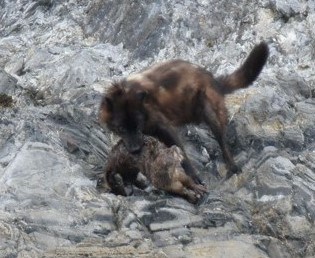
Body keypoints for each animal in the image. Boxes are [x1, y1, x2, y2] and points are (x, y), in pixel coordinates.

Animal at [100, 42, 270, 180]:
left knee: (223, 142)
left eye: (137, 125)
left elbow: (183, 157)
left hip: (210, 113)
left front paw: (194, 178)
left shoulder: (166, 129)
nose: (135, 150)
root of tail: (214, 80)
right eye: (121, 128)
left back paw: (232, 167)